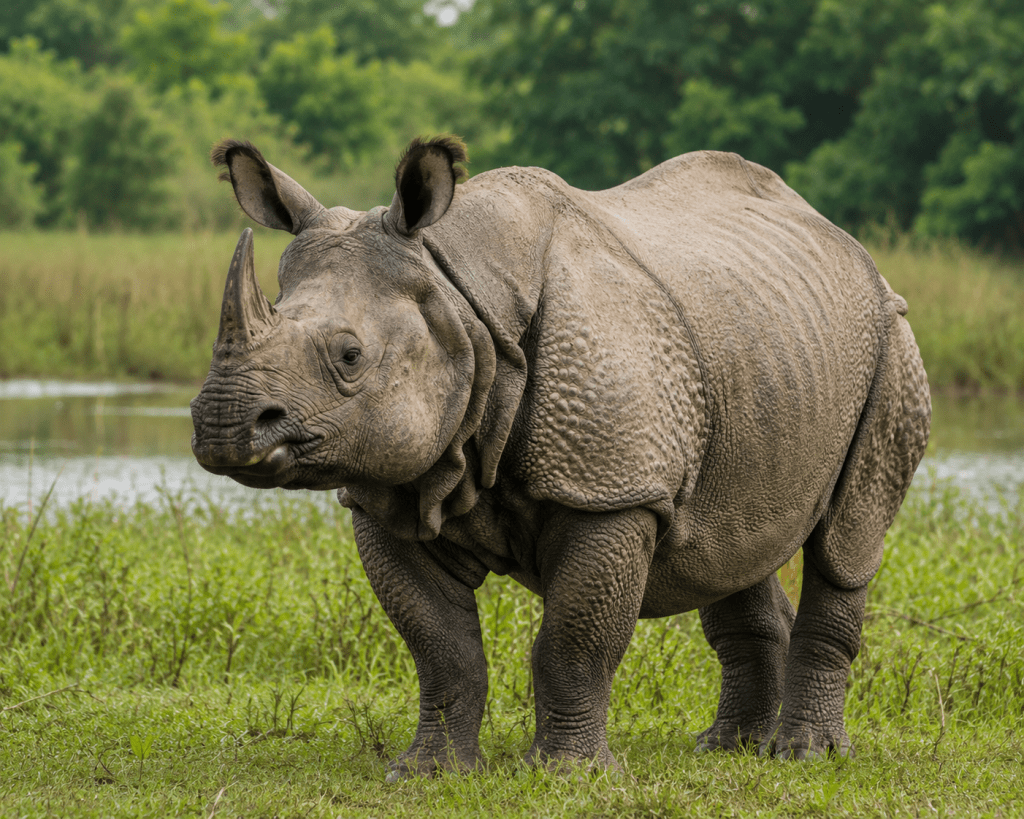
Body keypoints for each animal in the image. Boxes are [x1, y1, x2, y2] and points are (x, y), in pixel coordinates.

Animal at [191, 136, 930, 777]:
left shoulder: (612, 491)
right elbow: (440, 648)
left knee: (844, 543)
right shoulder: (391, 491)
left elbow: (573, 641)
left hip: (890, 340)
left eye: (349, 356)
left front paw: (569, 773)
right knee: (726, 543)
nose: (223, 424)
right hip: (761, 344)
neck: (458, 301)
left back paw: (805, 755)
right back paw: (726, 748)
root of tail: (845, 241)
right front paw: (429, 771)